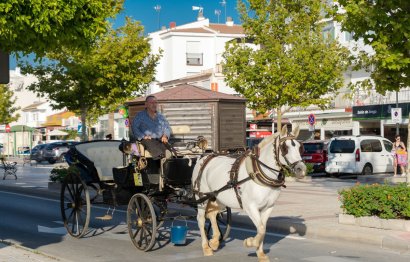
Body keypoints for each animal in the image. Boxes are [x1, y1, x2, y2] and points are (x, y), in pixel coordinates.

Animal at [191, 126, 304, 260]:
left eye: (300, 147)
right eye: (285, 148)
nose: (301, 169)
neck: (259, 172)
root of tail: (204, 157)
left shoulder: (268, 207)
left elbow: (262, 229)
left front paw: (260, 254)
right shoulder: (250, 207)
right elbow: (261, 229)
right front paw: (250, 242)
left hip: (218, 196)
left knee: (213, 214)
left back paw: (214, 241)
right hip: (201, 196)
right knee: (201, 219)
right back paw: (206, 247)